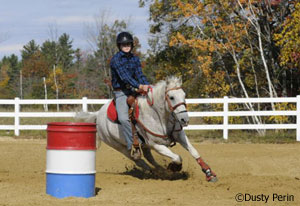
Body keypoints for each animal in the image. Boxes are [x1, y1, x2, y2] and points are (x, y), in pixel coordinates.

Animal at [77, 76, 217, 182]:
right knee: (138, 160)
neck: (159, 116)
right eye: (171, 97)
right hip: (119, 146)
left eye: (184, 95)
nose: (184, 119)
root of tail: (98, 114)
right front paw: (173, 167)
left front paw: (209, 173)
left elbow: (194, 152)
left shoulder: (179, 135)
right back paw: (156, 172)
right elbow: (177, 157)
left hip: (143, 145)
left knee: (148, 157)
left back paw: (160, 170)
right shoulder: (156, 145)